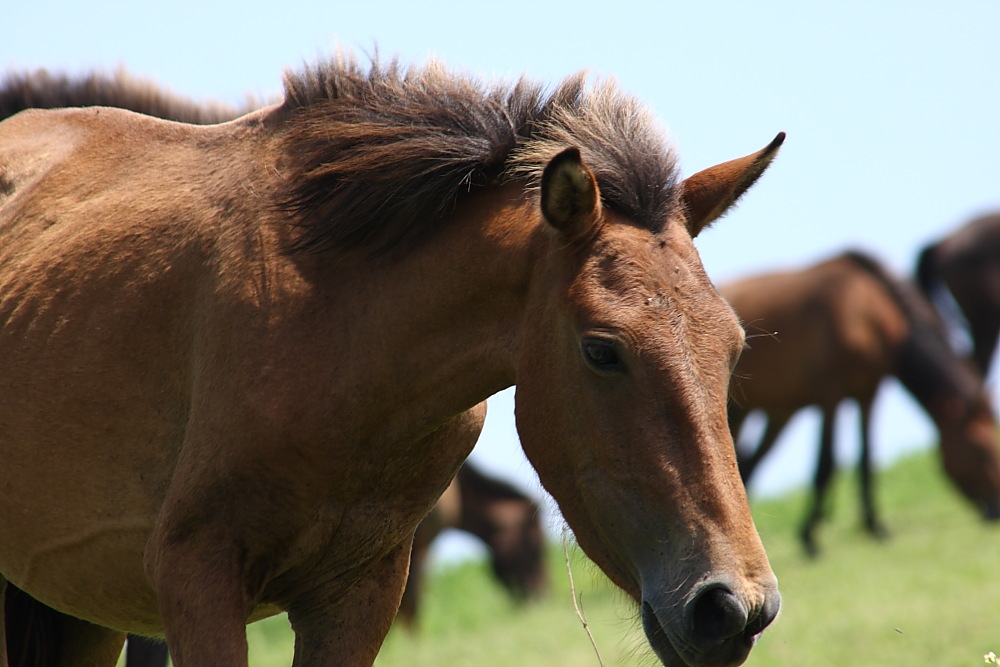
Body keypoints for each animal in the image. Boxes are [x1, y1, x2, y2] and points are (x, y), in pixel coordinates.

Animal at [724, 248, 1000, 556]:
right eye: (980, 450)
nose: (995, 510)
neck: (867, 313)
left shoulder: (868, 393)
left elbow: (866, 460)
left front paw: (875, 526)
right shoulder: (831, 394)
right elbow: (826, 463)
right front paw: (809, 537)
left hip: (773, 411)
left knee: (748, 463)